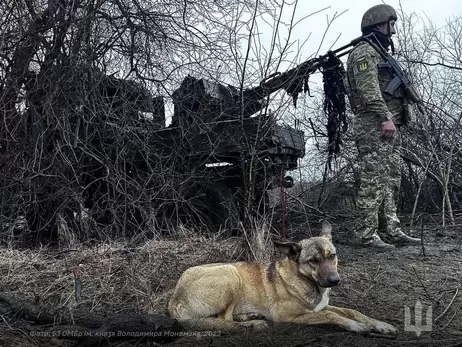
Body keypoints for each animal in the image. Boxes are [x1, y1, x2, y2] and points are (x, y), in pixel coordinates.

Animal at [167, 222, 398, 336]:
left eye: (332, 256)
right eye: (313, 261)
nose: (335, 281)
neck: (307, 282)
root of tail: (174, 299)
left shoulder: (320, 307)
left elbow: (352, 311)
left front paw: (380, 325)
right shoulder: (294, 316)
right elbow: (333, 316)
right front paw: (356, 326)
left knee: (226, 318)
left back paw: (250, 316)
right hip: (230, 273)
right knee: (224, 320)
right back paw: (252, 324)